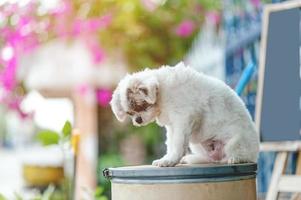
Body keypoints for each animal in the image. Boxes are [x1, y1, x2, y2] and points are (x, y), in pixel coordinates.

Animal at [109, 62, 258, 167]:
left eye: (141, 106)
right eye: (129, 113)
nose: (138, 120)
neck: (163, 92)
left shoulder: (183, 119)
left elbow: (177, 143)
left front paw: (170, 160)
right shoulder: (171, 126)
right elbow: (170, 143)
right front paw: (167, 158)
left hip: (235, 142)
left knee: (240, 155)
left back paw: (236, 158)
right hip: (197, 145)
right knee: (211, 159)